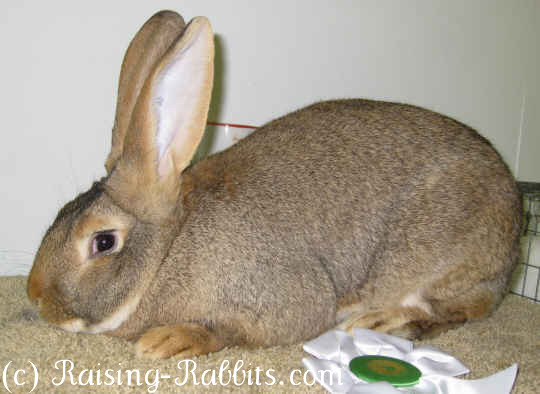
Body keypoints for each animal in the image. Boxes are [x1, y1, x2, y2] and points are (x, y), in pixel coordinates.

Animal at [27, 9, 520, 360]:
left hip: (443, 260)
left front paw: (169, 340)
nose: (36, 297)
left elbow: (236, 329)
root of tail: (517, 226)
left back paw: (382, 322)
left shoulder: (280, 297)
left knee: (456, 310)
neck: (170, 251)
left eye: (103, 242)